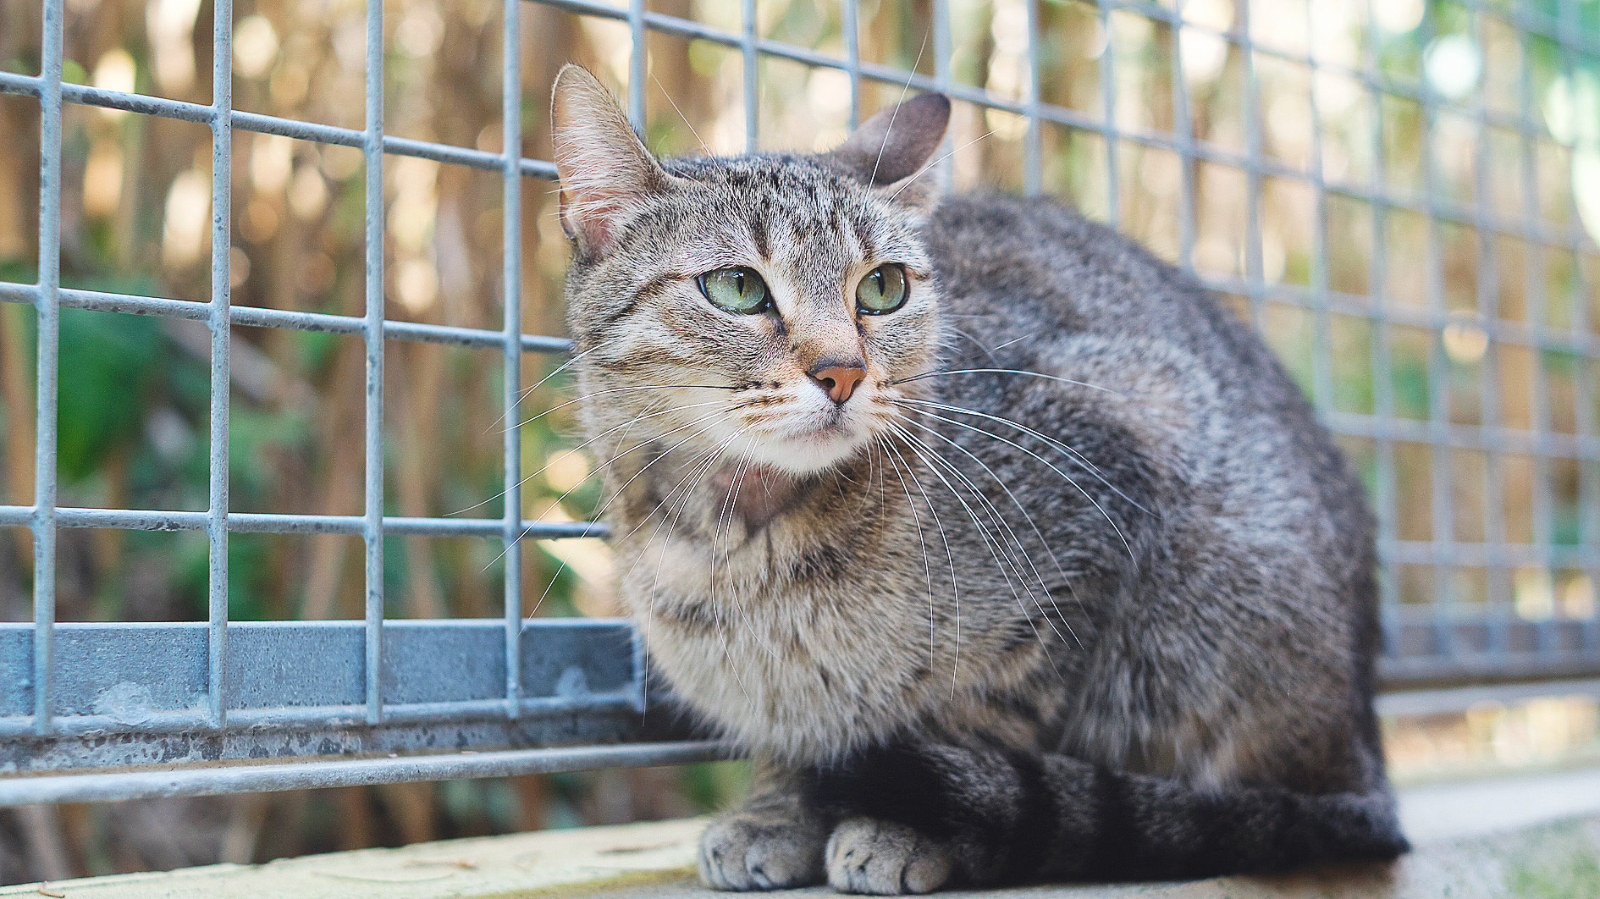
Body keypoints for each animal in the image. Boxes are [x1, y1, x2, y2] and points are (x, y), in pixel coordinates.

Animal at [549, 64, 1408, 894]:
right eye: (735, 287)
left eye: (883, 287)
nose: (843, 371)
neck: (734, 541)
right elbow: (793, 732)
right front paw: (776, 811)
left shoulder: (1117, 440)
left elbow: (982, 714)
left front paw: (911, 827)